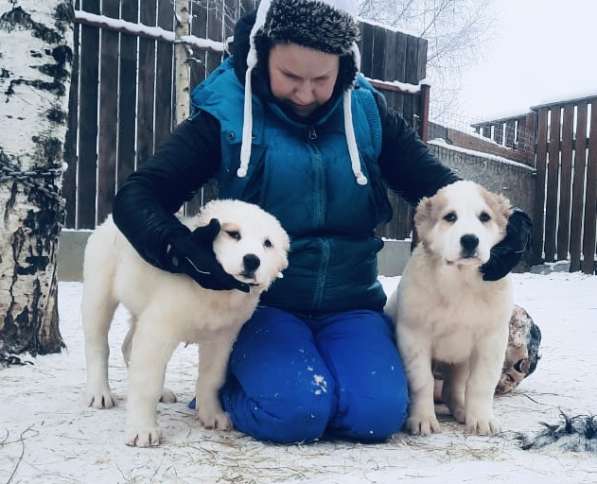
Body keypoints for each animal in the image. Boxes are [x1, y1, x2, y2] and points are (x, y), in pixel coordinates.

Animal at [82, 199, 290, 446]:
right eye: (233, 234)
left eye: (267, 243)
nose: (252, 260)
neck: (216, 293)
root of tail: (107, 220)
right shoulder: (158, 330)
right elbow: (146, 383)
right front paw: (143, 429)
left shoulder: (222, 338)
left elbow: (212, 378)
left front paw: (211, 414)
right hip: (99, 293)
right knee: (98, 345)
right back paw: (99, 392)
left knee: (129, 346)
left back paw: (161, 391)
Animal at [386, 182, 512, 438]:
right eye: (450, 217)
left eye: (484, 217)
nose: (470, 240)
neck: (460, 281)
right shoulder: (414, 336)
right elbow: (421, 381)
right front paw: (422, 419)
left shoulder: (492, 339)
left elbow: (481, 383)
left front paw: (482, 420)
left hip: (460, 360)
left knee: (454, 388)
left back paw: (463, 410)